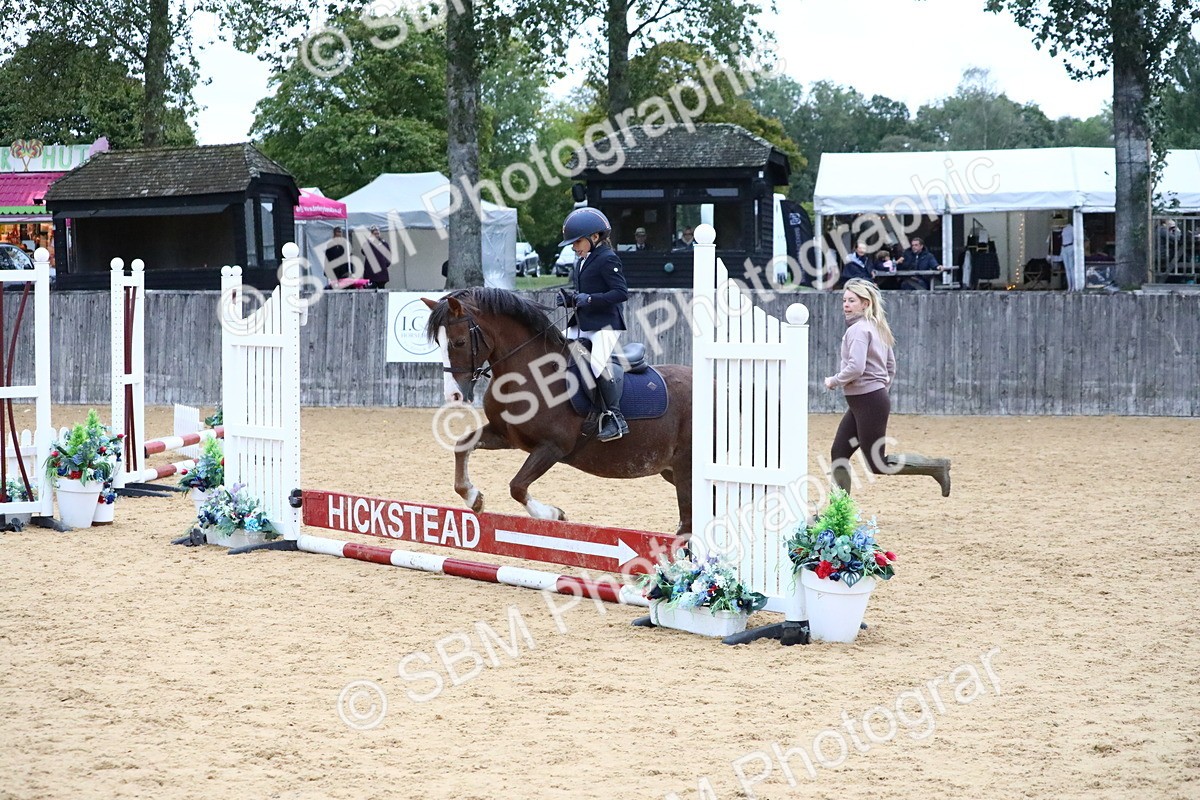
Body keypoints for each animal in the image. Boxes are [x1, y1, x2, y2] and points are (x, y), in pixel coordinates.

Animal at [423, 288, 693, 535]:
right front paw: (473, 497)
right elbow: (462, 446)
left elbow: (517, 486)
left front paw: (553, 514)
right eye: (438, 343)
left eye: (459, 342)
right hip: (669, 470)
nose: (454, 396)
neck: (526, 374)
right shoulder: (505, 436)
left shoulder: (553, 447)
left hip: (684, 468)